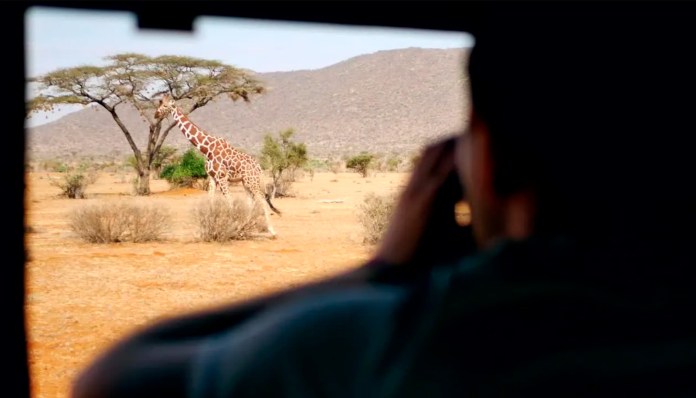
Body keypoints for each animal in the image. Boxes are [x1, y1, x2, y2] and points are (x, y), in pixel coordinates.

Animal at [154, 93, 280, 236]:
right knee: (251, 202)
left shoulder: (222, 177)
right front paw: (210, 229)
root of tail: (259, 167)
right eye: (159, 103)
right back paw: (243, 229)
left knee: (262, 200)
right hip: (246, 182)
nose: (156, 114)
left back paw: (271, 231)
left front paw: (231, 228)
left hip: (251, 181)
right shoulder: (212, 177)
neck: (207, 149)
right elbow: (210, 201)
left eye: (165, 106)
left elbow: (230, 203)